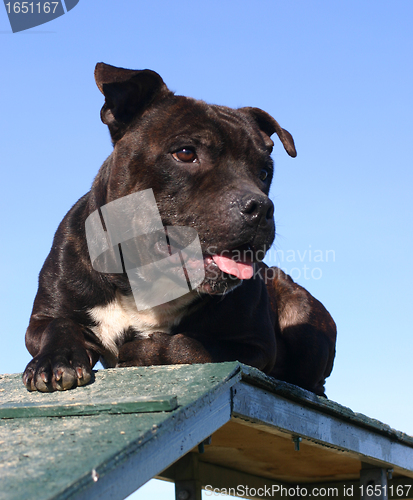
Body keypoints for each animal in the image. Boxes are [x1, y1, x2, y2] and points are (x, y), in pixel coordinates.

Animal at [22, 62, 336, 396]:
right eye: (185, 153)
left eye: (264, 172)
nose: (260, 207)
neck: (145, 281)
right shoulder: (42, 318)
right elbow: (58, 324)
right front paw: (57, 359)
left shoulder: (256, 345)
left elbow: (188, 346)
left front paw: (145, 349)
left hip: (301, 311)